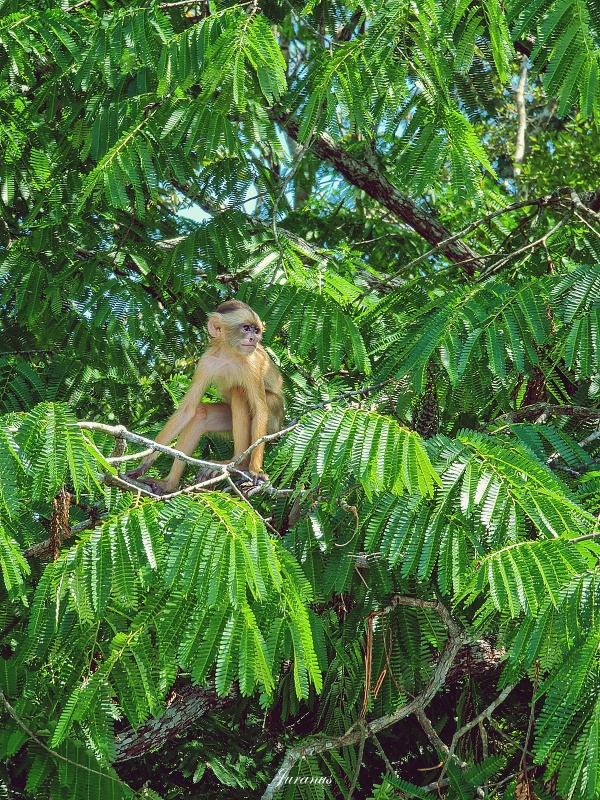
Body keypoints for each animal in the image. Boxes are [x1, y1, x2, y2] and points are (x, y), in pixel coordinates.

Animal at [125, 298, 284, 494]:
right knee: (201, 414)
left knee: (239, 391)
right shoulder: (206, 362)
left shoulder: (252, 363)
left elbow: (260, 410)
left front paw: (255, 470)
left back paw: (240, 465)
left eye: (256, 330)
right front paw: (144, 464)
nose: (254, 338)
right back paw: (169, 484)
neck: (229, 355)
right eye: (246, 328)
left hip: (274, 416)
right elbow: (187, 410)